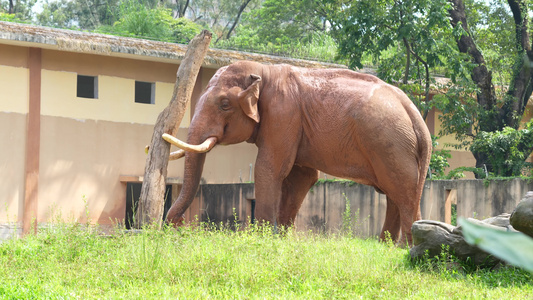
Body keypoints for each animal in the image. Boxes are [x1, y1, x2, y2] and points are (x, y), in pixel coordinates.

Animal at [164, 60, 430, 246]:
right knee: (394, 193)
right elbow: (302, 177)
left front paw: (262, 238)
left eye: (224, 104)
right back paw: (387, 246)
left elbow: (268, 169)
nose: (179, 226)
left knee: (402, 190)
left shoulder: (283, 115)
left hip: (390, 144)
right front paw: (281, 237)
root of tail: (414, 113)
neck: (263, 71)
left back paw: (406, 247)